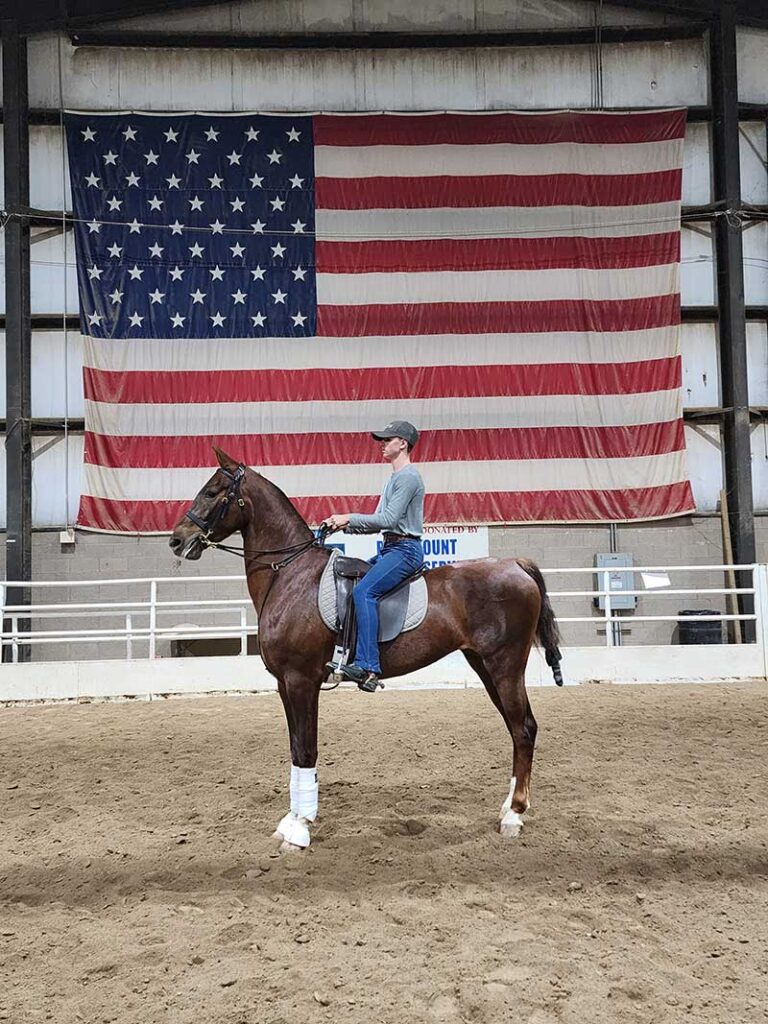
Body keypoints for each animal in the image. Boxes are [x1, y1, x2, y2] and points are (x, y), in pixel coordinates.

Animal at [171, 452, 561, 851]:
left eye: (212, 491)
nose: (177, 539)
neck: (291, 575)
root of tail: (515, 565)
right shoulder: (284, 684)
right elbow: (295, 749)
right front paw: (291, 820)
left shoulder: (301, 681)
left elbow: (306, 749)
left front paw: (300, 828)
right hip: (485, 666)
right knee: (517, 728)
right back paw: (509, 807)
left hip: (505, 666)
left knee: (523, 729)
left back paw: (514, 814)